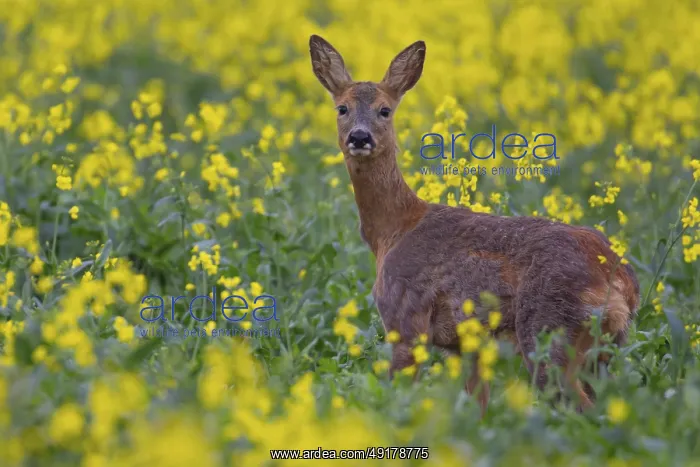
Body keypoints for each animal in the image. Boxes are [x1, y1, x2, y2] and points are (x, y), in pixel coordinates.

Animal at [308, 34, 640, 416]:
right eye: (342, 108)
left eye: (384, 110)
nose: (360, 137)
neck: (394, 230)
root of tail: (618, 276)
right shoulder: (468, 345)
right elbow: (476, 409)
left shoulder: (406, 319)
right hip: (602, 348)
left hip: (548, 327)